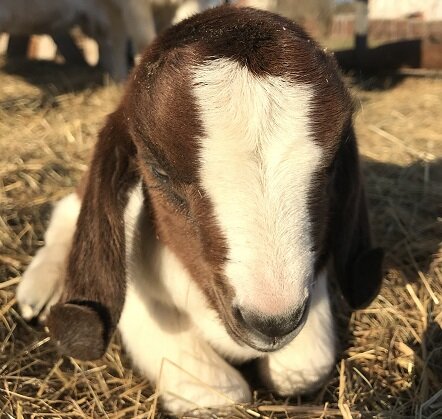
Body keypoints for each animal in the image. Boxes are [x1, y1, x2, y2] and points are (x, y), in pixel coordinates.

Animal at [16, 4, 384, 416]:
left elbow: (306, 367)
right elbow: (223, 393)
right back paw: (38, 289)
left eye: (333, 164)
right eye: (158, 171)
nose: (272, 323)